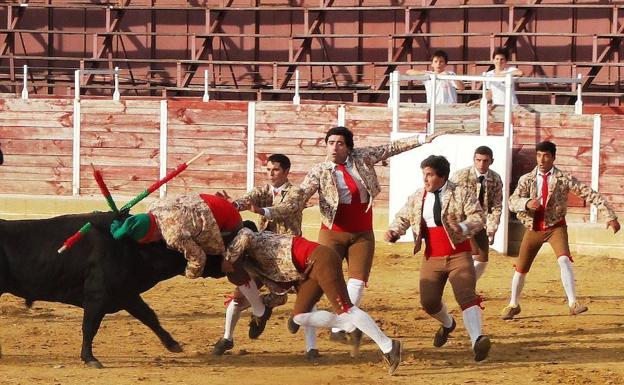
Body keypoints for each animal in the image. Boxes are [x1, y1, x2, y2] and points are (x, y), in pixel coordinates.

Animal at [0, 210, 225, 366]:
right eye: (212, 245)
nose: (227, 264)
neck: (130, 246)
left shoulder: (126, 294)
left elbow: (149, 317)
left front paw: (172, 344)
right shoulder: (97, 296)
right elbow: (89, 327)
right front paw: (89, 358)